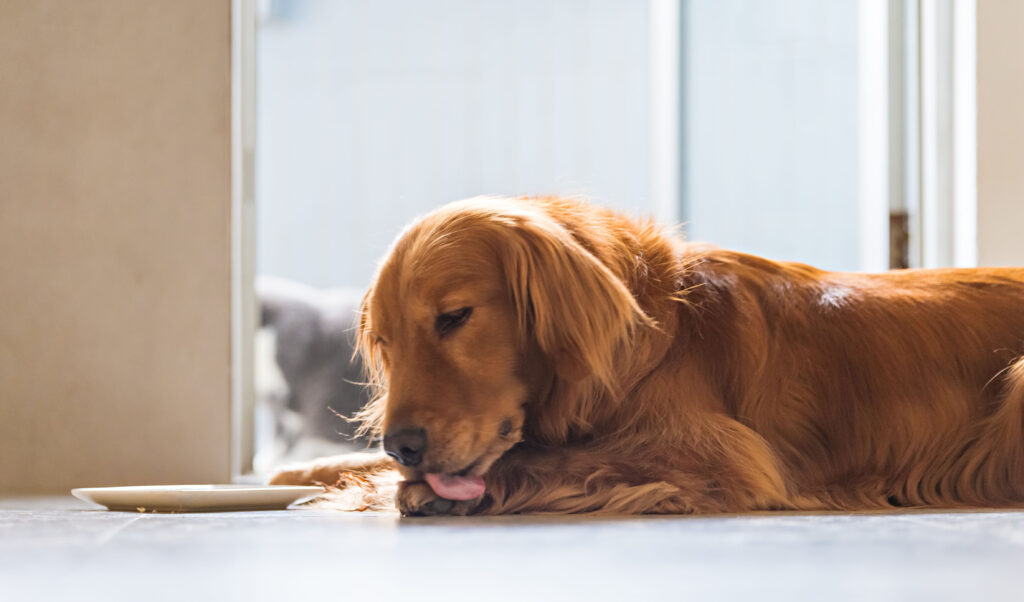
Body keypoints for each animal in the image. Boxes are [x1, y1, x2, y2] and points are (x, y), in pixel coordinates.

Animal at [270, 195, 1024, 516]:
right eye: (385, 342)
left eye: (454, 318)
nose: (404, 444)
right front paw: (305, 472)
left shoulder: (721, 453)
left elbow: (558, 458)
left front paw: (412, 490)